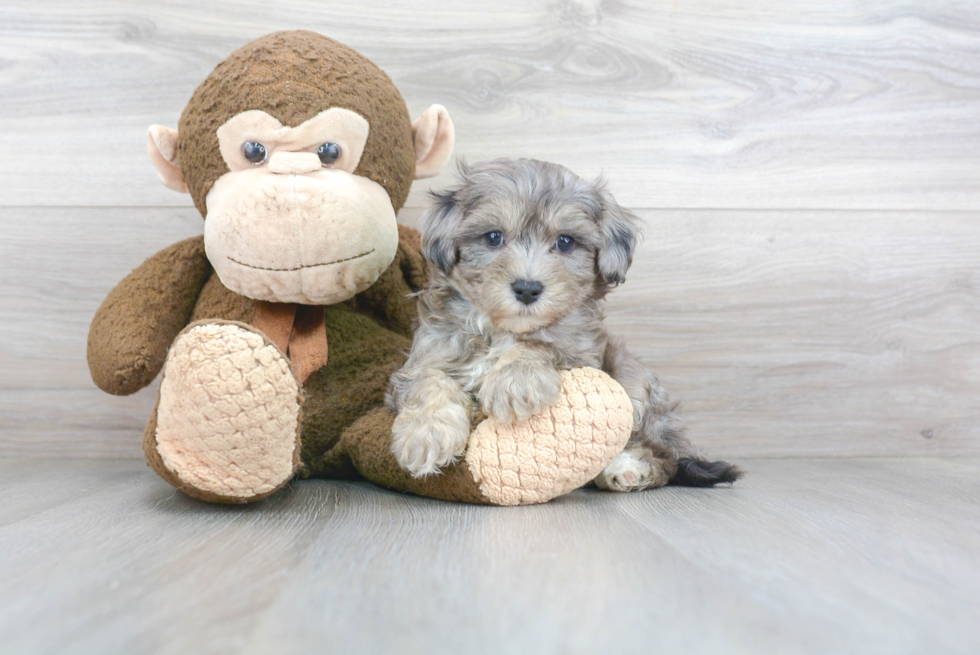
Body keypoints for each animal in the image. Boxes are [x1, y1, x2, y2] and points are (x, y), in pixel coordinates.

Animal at [386, 158, 740, 492]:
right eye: (493, 238)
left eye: (565, 242)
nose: (527, 288)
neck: (504, 330)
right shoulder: (426, 356)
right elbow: (427, 382)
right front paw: (426, 434)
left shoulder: (582, 354)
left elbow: (544, 346)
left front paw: (516, 380)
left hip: (633, 380)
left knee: (663, 457)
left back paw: (628, 469)